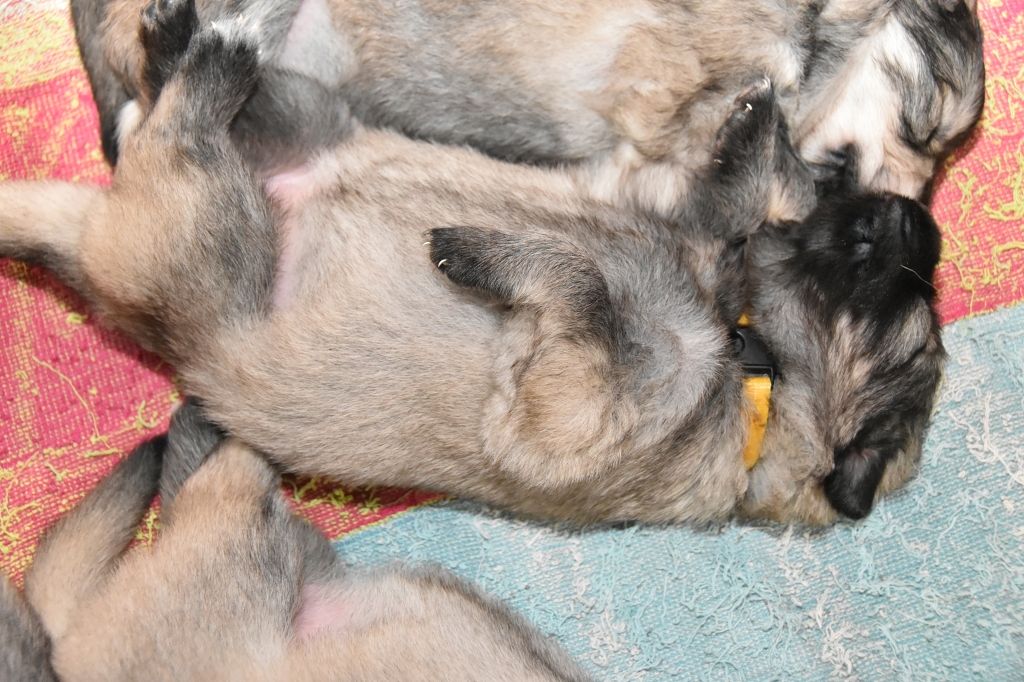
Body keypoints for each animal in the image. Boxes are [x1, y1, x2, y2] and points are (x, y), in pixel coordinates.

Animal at [0, 9, 944, 525]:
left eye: (907, 318)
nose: (918, 221)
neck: (743, 343)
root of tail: (95, 252)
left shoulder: (569, 409)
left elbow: (582, 282)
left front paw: (480, 252)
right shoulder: (651, 195)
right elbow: (723, 196)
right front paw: (754, 128)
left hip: (212, 237)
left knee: (182, 126)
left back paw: (209, 54)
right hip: (312, 110)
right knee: (174, 91)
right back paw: (179, 34)